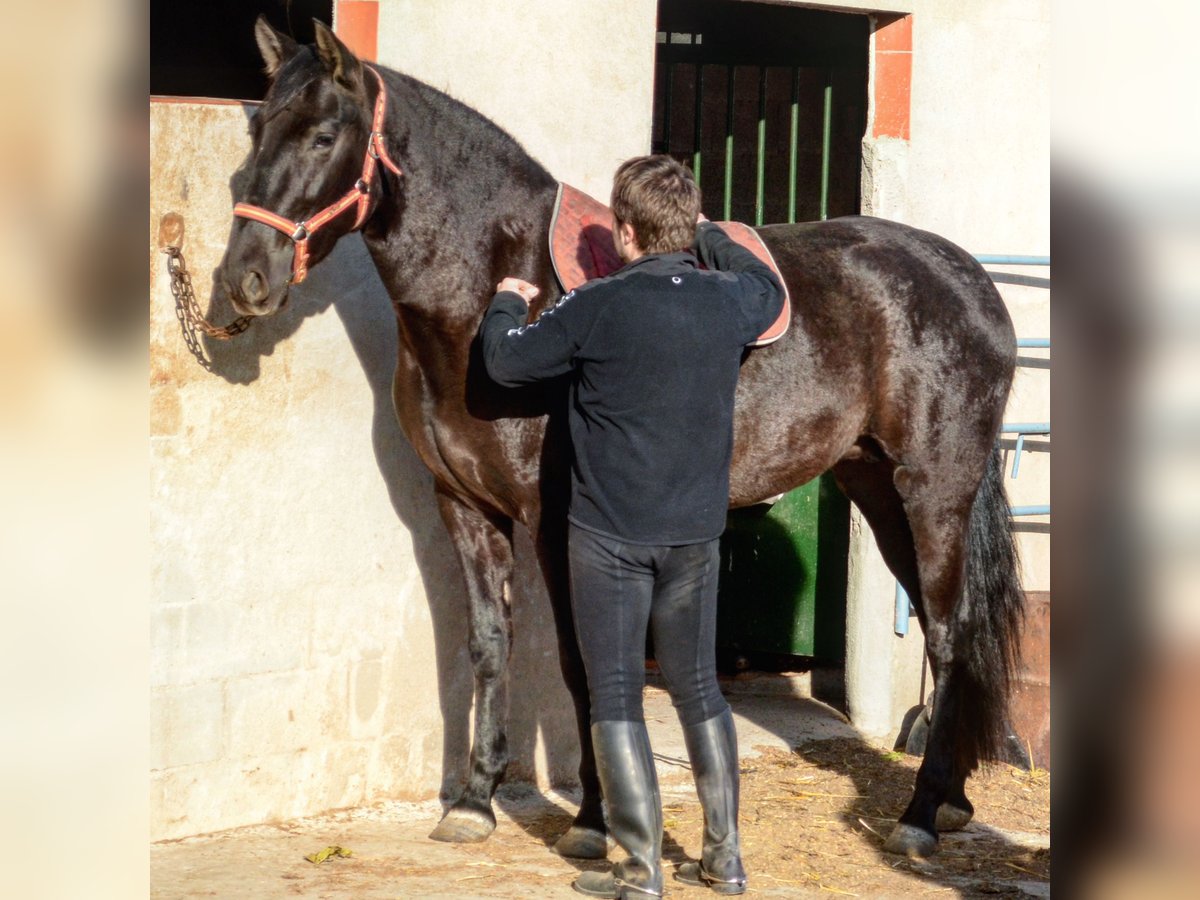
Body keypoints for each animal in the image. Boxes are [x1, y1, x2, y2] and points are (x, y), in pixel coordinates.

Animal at [216, 19, 1022, 868]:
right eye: (257, 129)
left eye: (324, 135)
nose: (245, 278)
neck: (488, 291)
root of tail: (966, 278)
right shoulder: (464, 505)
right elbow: (490, 646)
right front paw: (474, 801)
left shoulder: (557, 518)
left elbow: (581, 659)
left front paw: (594, 820)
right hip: (875, 484)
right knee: (946, 634)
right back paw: (953, 800)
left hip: (935, 490)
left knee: (952, 633)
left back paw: (921, 814)